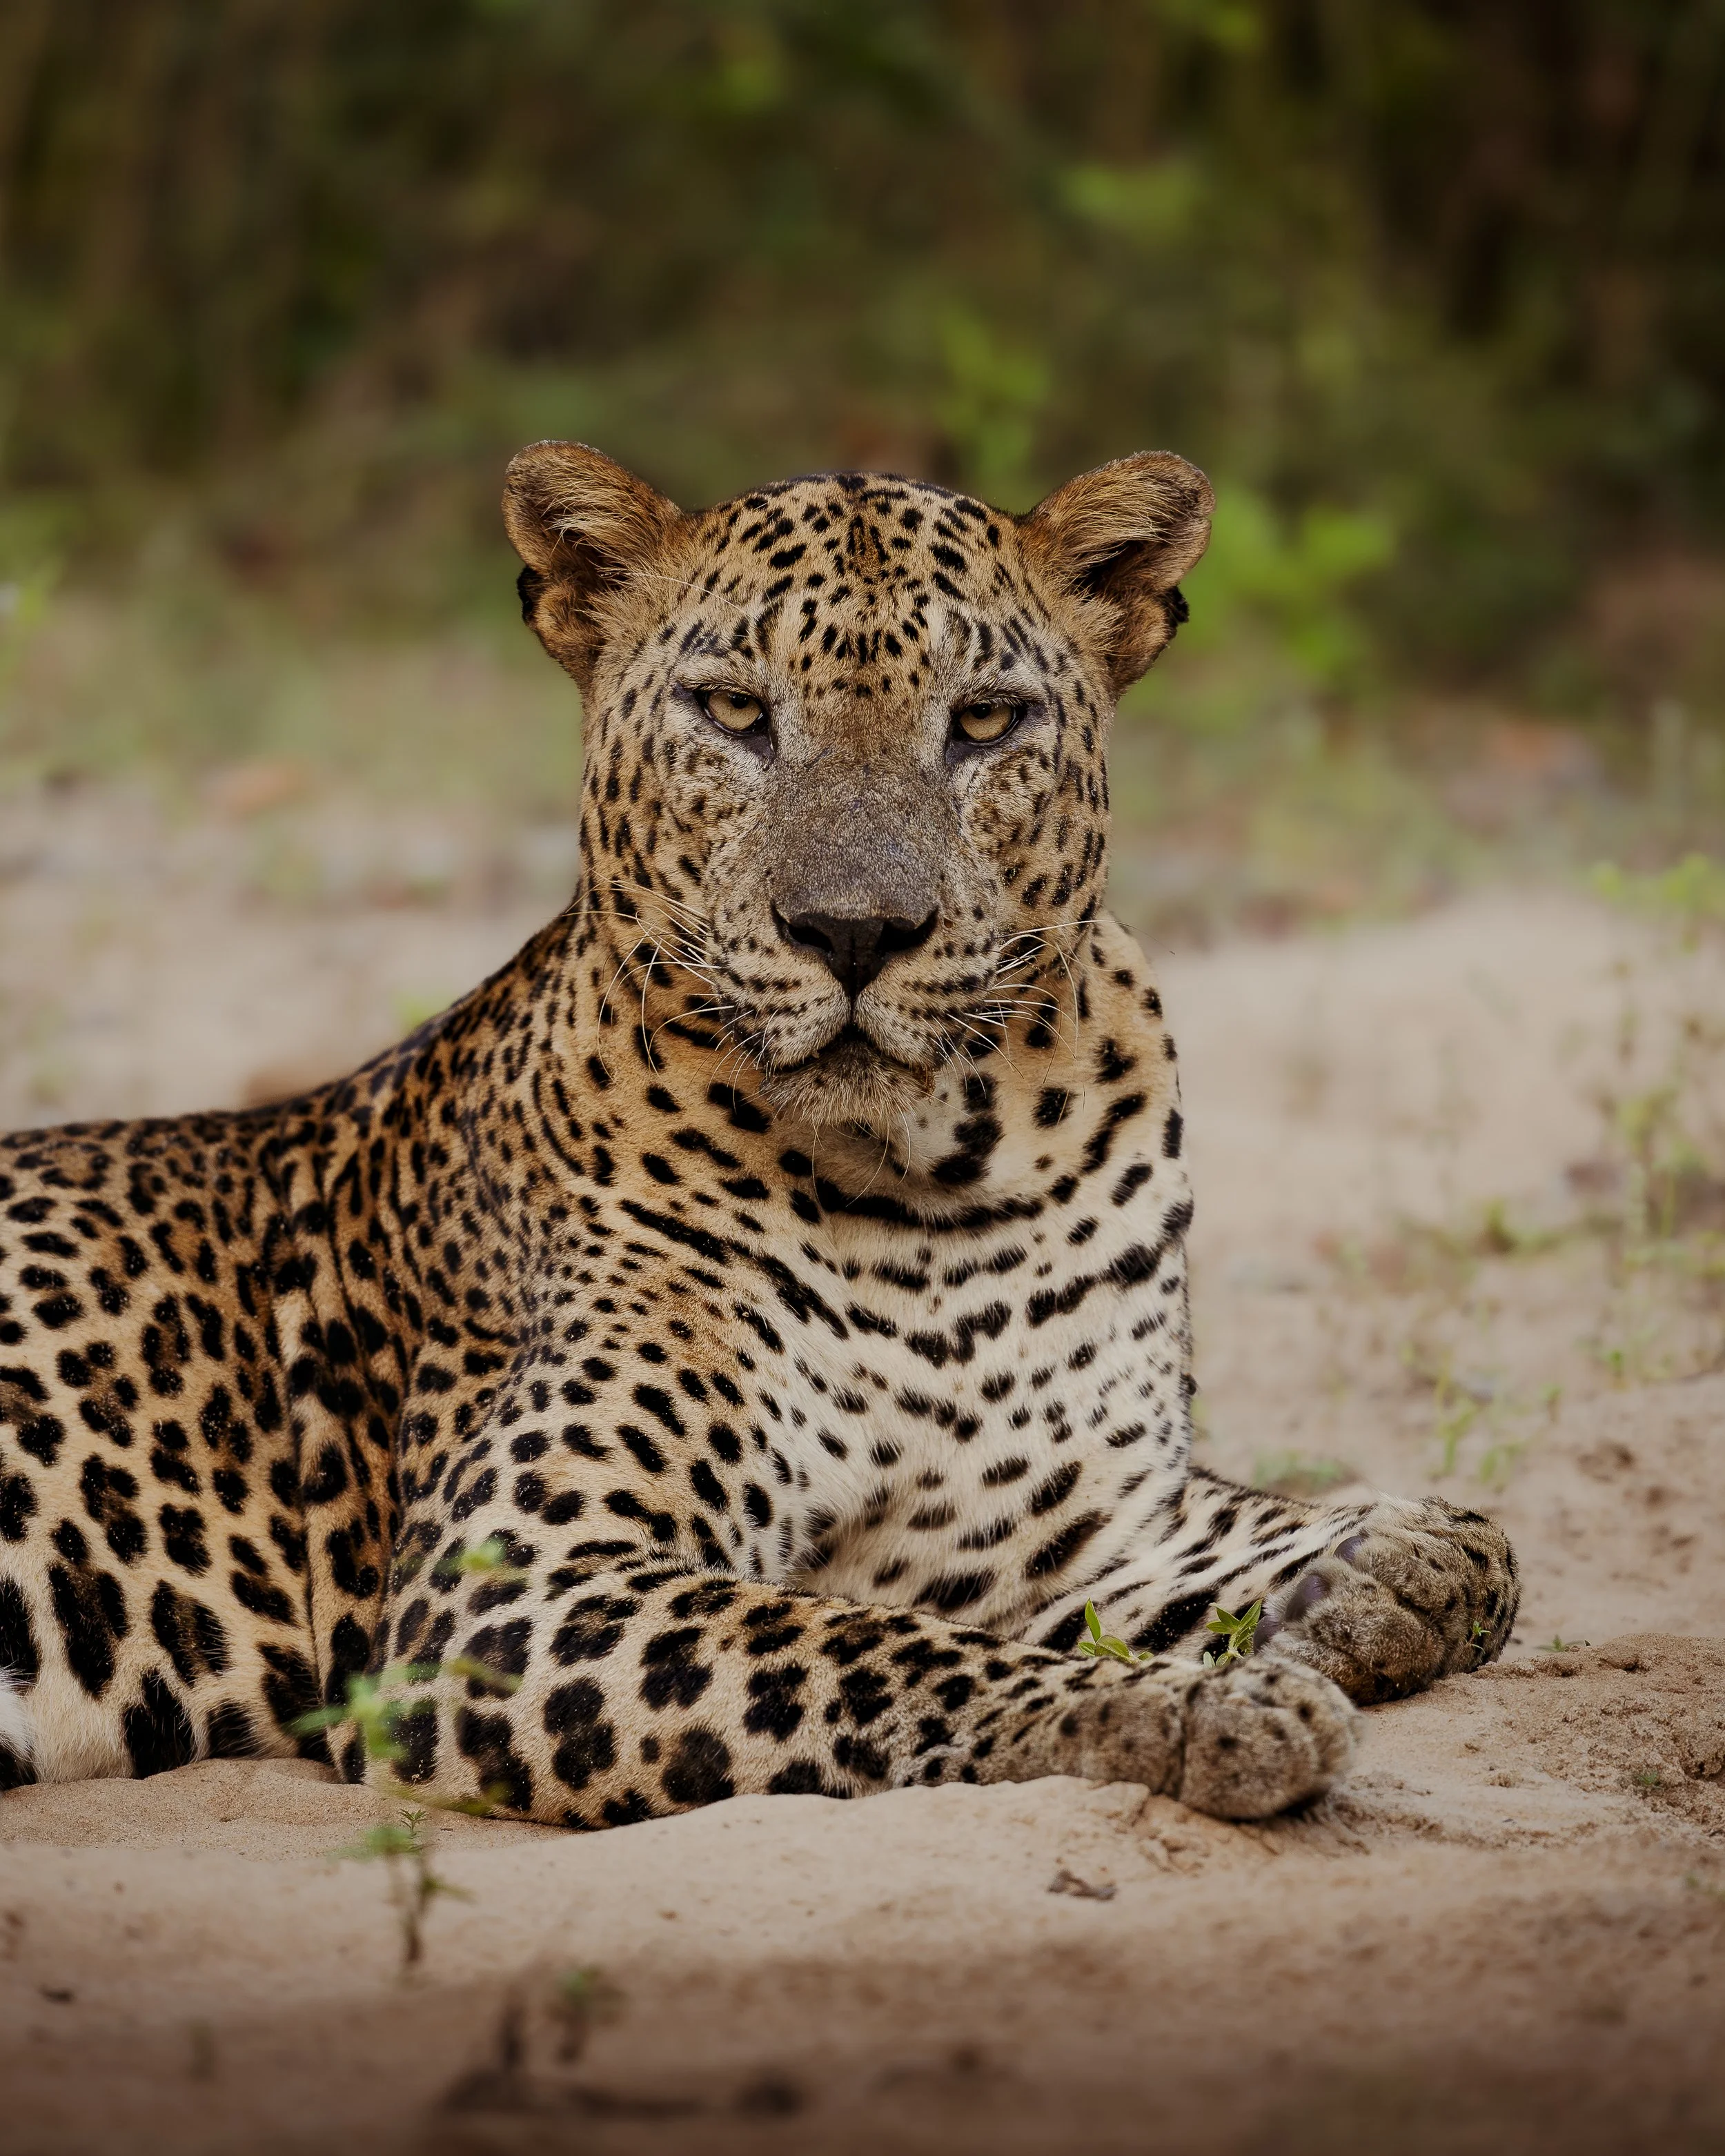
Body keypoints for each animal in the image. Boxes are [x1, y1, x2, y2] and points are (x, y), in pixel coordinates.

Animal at [0, 442, 1519, 1826]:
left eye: (982, 721)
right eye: (734, 712)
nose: (852, 931)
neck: (933, 1181)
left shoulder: (1073, 1516)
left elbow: (1448, 1542)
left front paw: (1382, 1560)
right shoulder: (510, 1587)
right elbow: (877, 1652)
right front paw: (1200, 1707)